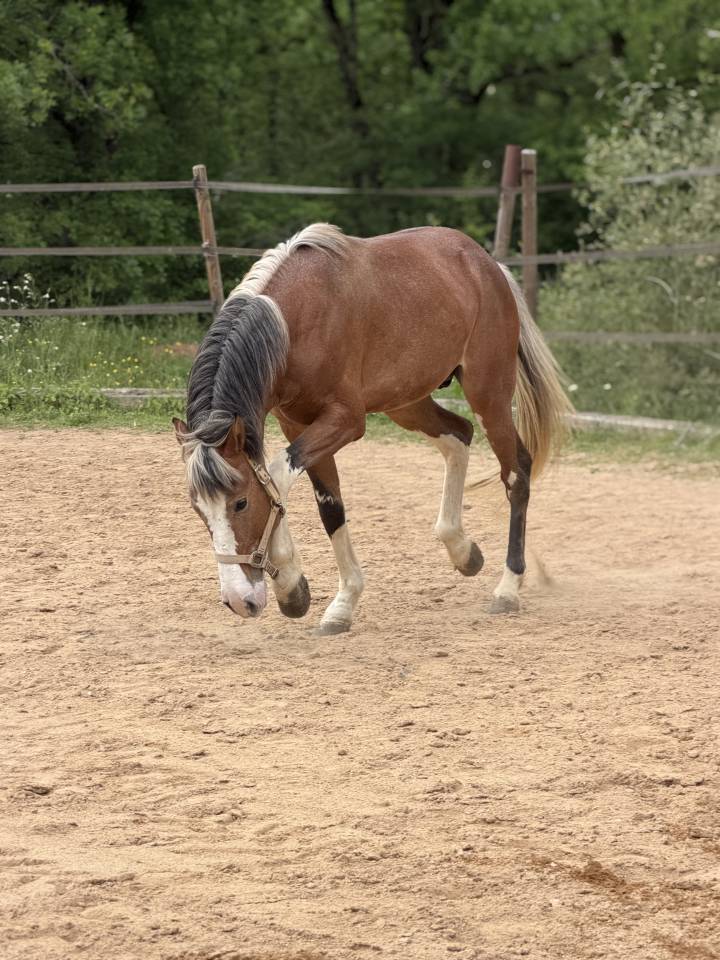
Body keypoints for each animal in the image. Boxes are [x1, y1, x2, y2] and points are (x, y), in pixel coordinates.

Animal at [173, 223, 571, 633]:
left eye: (240, 503)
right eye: (197, 509)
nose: (238, 601)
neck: (293, 323)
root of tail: (489, 266)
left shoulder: (346, 420)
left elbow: (276, 479)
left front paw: (290, 584)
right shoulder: (295, 424)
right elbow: (328, 508)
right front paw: (330, 600)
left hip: (488, 396)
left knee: (516, 472)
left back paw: (508, 588)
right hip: (407, 401)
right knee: (458, 435)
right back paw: (462, 550)